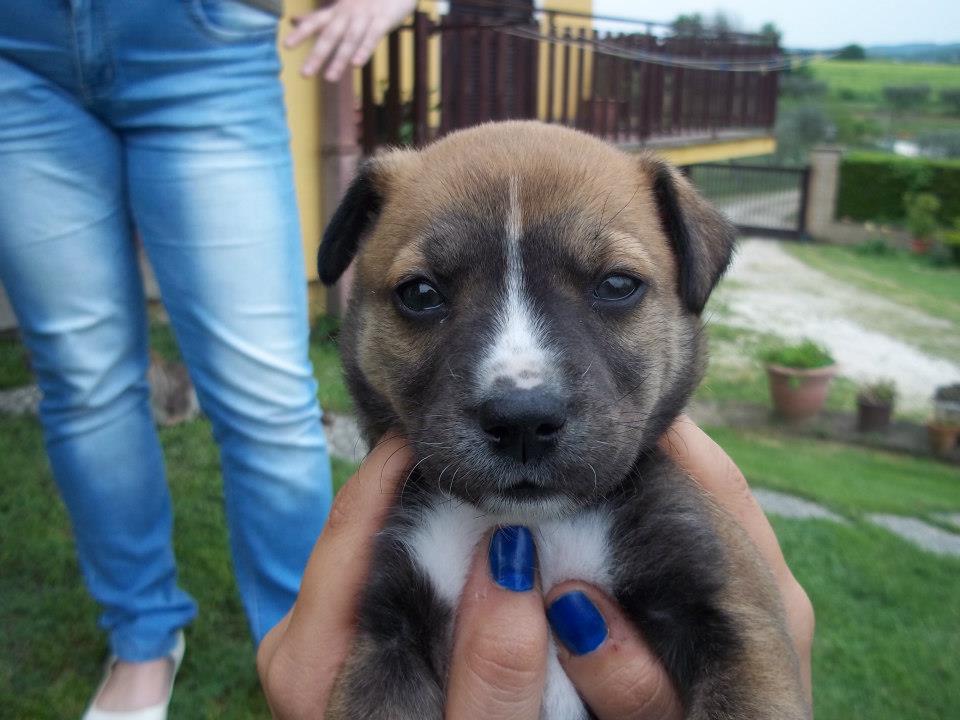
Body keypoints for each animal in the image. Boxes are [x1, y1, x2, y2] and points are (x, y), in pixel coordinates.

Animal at [317, 121, 809, 719]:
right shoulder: (387, 635)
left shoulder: (737, 616)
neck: (536, 526)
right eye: (420, 293)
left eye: (617, 285)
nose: (523, 422)